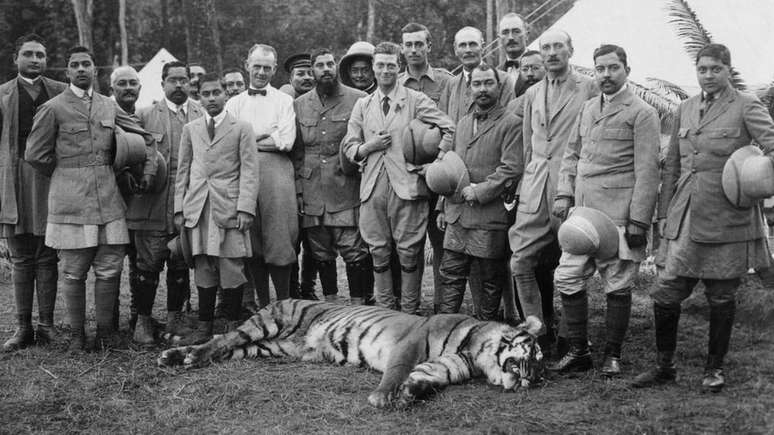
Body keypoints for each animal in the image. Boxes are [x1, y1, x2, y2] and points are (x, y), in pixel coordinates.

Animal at [158, 300, 544, 408]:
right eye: (531, 355)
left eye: (539, 375)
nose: (529, 381)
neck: (477, 353)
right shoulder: (411, 342)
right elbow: (397, 370)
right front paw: (383, 397)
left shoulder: (444, 367)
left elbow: (425, 379)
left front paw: (409, 394)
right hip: (267, 323)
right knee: (223, 338)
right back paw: (187, 357)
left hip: (266, 347)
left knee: (226, 347)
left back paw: (175, 357)